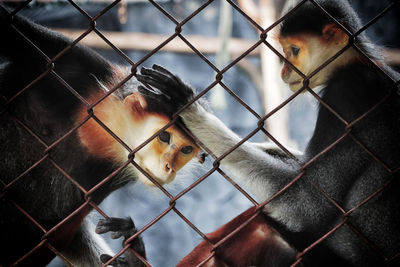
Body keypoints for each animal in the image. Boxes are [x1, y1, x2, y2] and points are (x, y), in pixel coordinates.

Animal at [136, 0, 400, 266]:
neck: (360, 63)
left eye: (294, 50)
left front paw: (190, 109)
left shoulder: (348, 94)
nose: (284, 72)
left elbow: (307, 204)